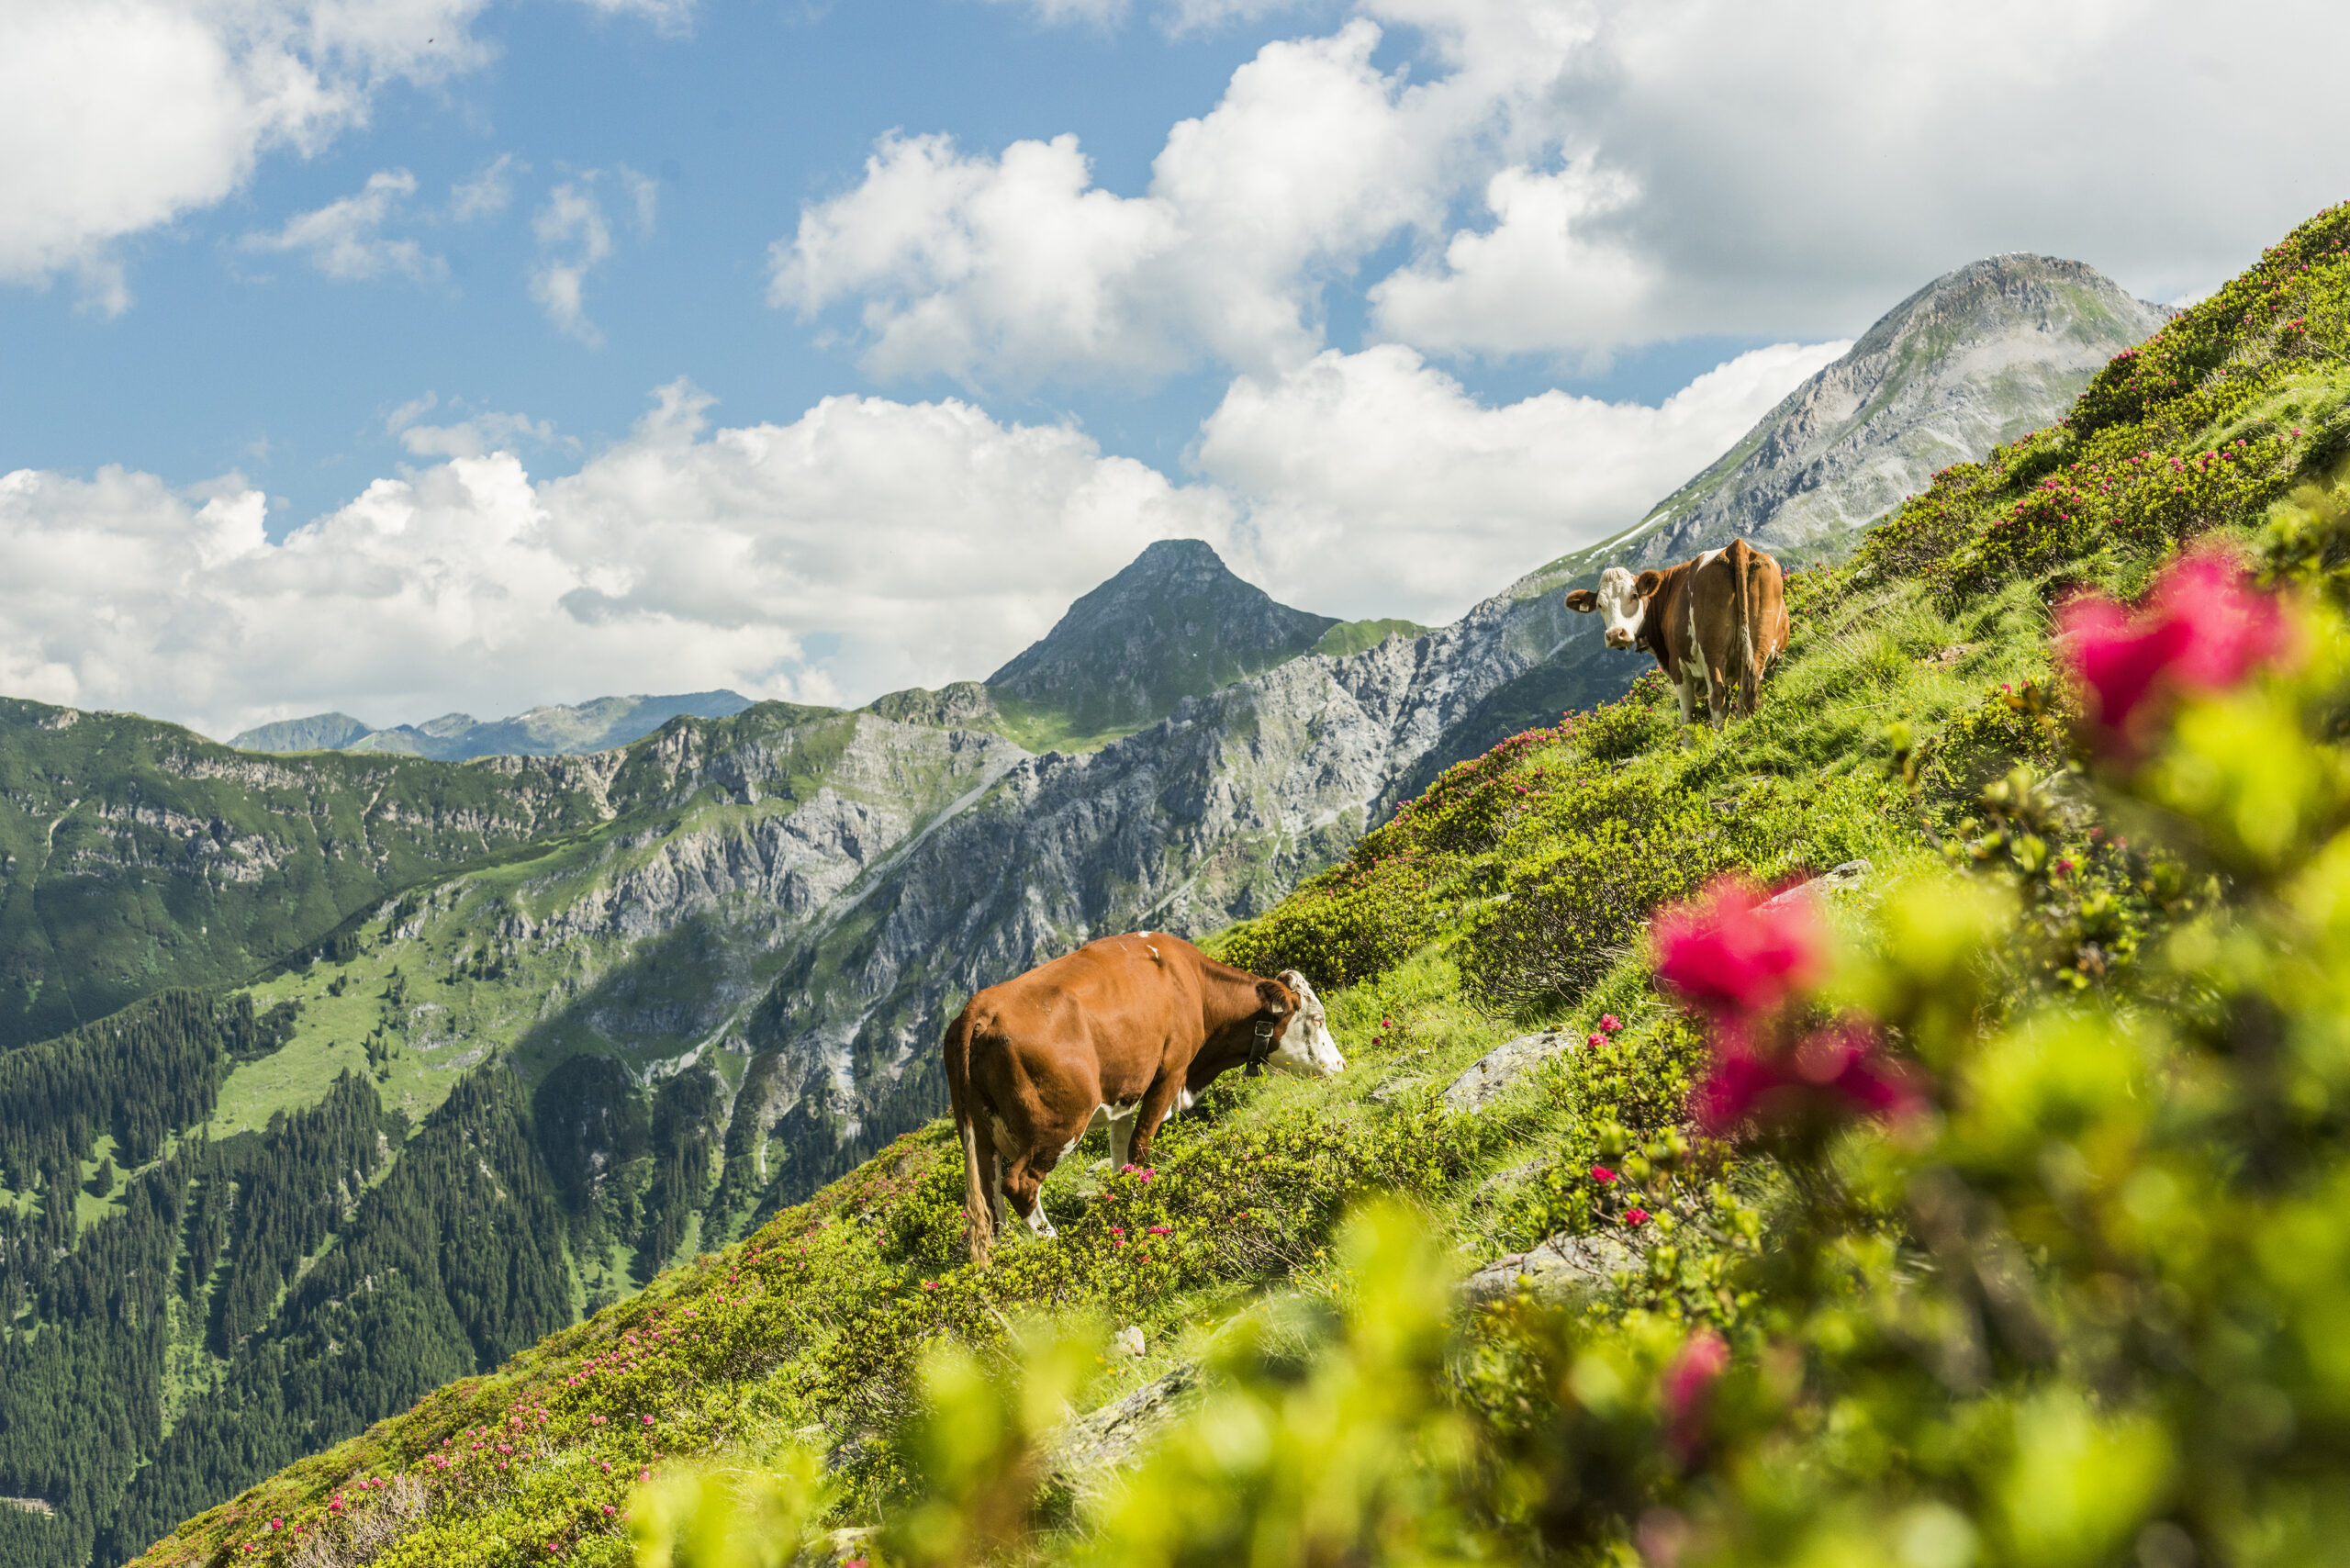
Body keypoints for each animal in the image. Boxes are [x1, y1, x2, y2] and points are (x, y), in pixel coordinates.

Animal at [940, 931, 1344, 1260]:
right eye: (1317, 1019)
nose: (1340, 1065)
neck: (1193, 987)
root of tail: (980, 1007)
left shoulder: (1125, 1097)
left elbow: (1122, 1161)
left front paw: (1124, 1205)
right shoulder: (1169, 1072)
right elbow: (1140, 1147)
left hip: (980, 1138)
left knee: (989, 1206)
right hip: (1058, 1125)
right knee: (1020, 1185)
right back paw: (1053, 1243)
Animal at [1570, 540, 1785, 728]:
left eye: (1634, 595)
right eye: (1600, 605)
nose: (1615, 634)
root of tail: (1736, 546)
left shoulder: (1678, 667)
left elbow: (1688, 717)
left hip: (1711, 649)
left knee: (1717, 698)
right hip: (1759, 645)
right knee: (1749, 691)